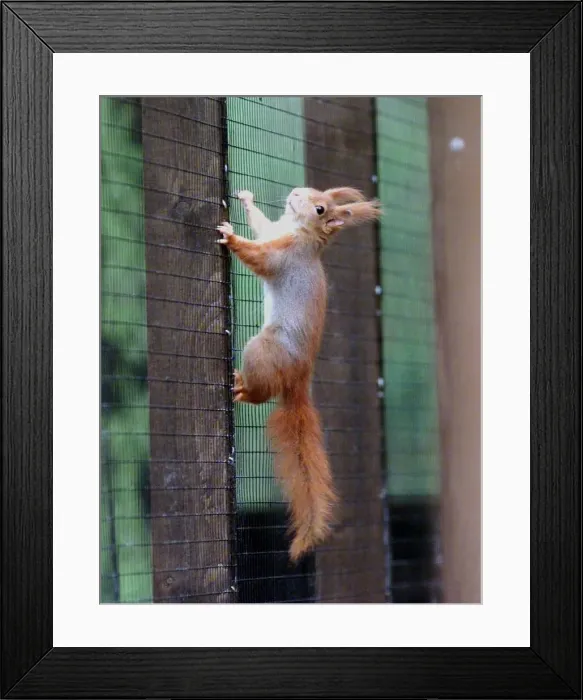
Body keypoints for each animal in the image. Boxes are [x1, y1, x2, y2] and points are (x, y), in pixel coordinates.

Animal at [217, 186, 381, 562]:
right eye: (313, 192)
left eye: (320, 208)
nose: (295, 192)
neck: (300, 232)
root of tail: (298, 381)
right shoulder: (274, 232)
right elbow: (262, 225)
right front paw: (246, 200)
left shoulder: (284, 256)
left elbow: (260, 256)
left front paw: (230, 237)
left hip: (263, 349)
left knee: (261, 393)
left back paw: (243, 389)